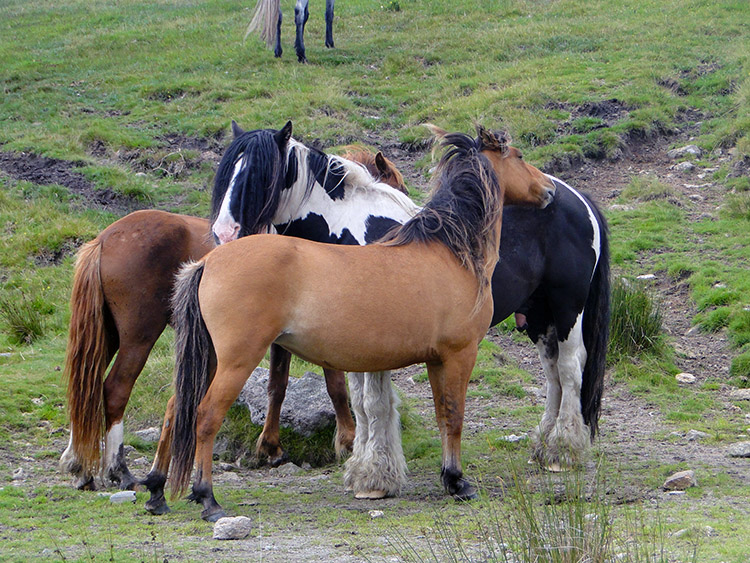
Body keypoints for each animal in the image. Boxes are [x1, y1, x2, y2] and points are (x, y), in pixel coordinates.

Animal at [61, 122, 408, 490]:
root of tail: (104, 239)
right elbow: (334, 384)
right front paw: (344, 440)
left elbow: (279, 384)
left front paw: (272, 446)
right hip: (138, 336)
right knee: (114, 389)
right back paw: (118, 469)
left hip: (110, 334)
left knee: (86, 386)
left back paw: (80, 464)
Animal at [169, 126, 560, 520]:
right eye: (519, 156)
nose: (549, 189)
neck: (449, 250)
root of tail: (210, 261)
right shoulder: (458, 355)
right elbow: (453, 416)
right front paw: (456, 481)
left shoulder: (436, 360)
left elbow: (441, 415)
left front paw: (446, 477)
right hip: (236, 361)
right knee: (205, 417)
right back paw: (207, 497)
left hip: (213, 360)